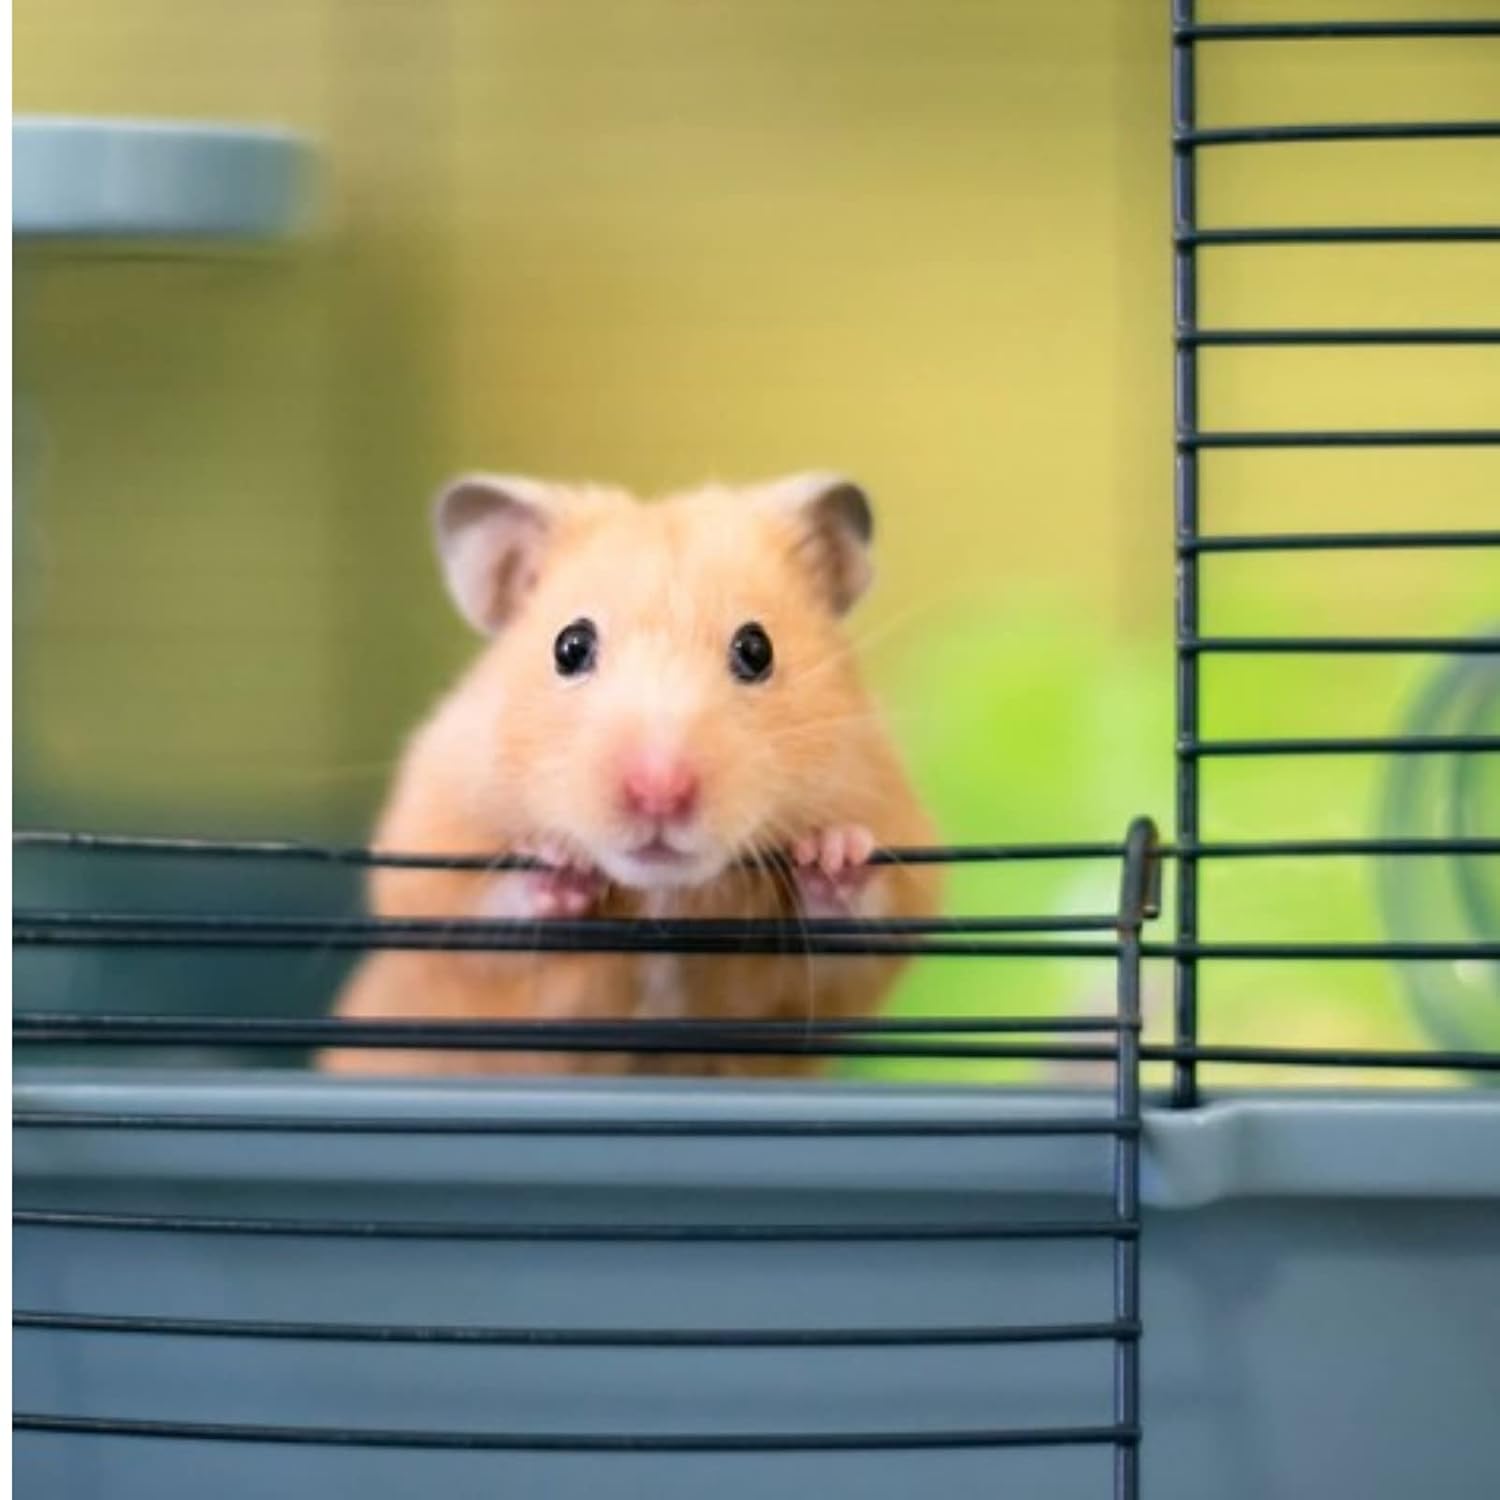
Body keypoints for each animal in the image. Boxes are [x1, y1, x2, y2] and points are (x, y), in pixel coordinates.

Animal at [322, 472, 942, 1078]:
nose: (658, 794)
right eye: (569, 646)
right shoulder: (431, 846)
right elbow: (476, 906)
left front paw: (833, 851)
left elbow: (860, 920)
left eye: (756, 648)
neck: (661, 892)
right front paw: (559, 865)